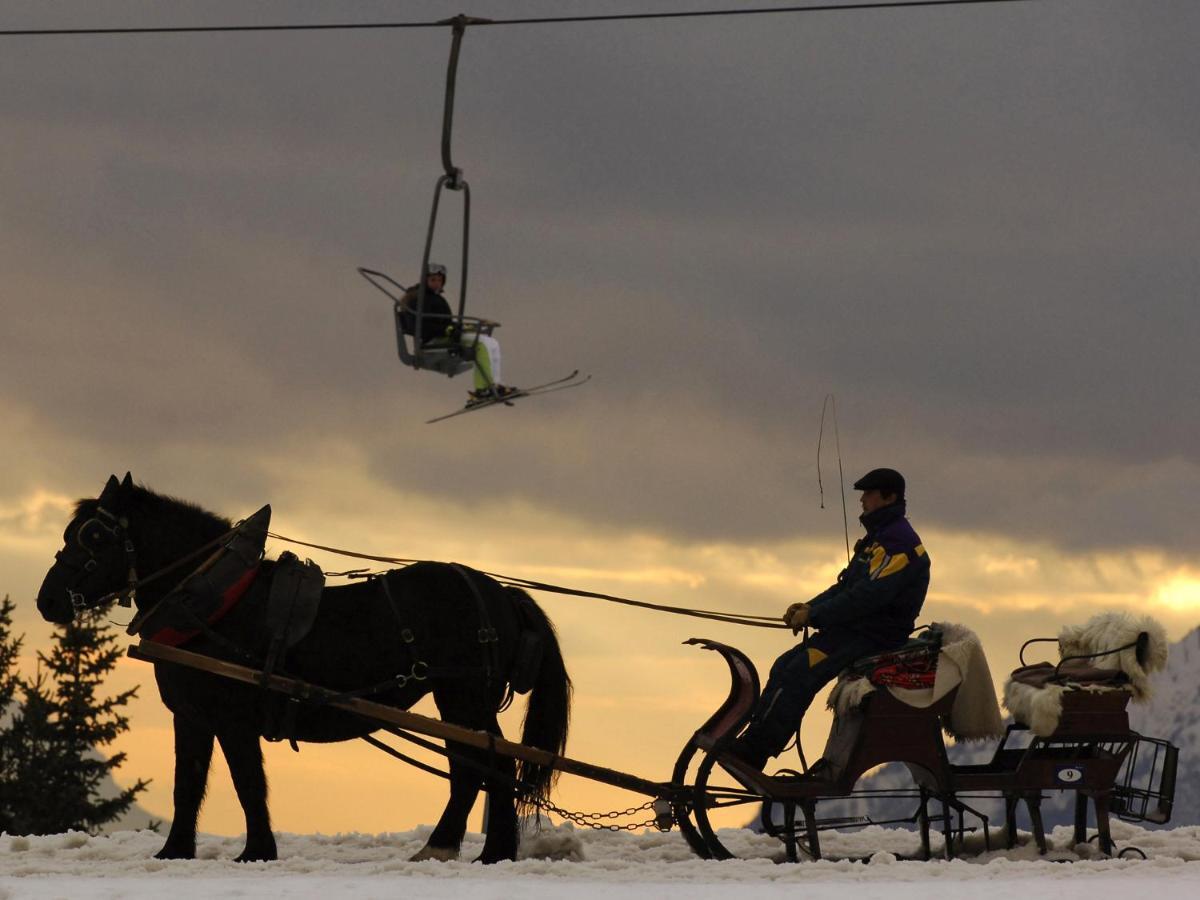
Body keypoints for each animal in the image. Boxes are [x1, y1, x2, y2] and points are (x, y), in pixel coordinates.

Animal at [37, 475, 571, 864]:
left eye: (95, 535)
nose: (47, 601)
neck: (214, 602)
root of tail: (502, 594)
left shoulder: (233, 719)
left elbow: (248, 784)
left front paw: (256, 852)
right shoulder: (191, 717)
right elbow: (187, 785)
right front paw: (174, 853)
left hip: (464, 697)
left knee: (486, 766)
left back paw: (476, 852)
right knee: (475, 768)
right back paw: (469, 850)